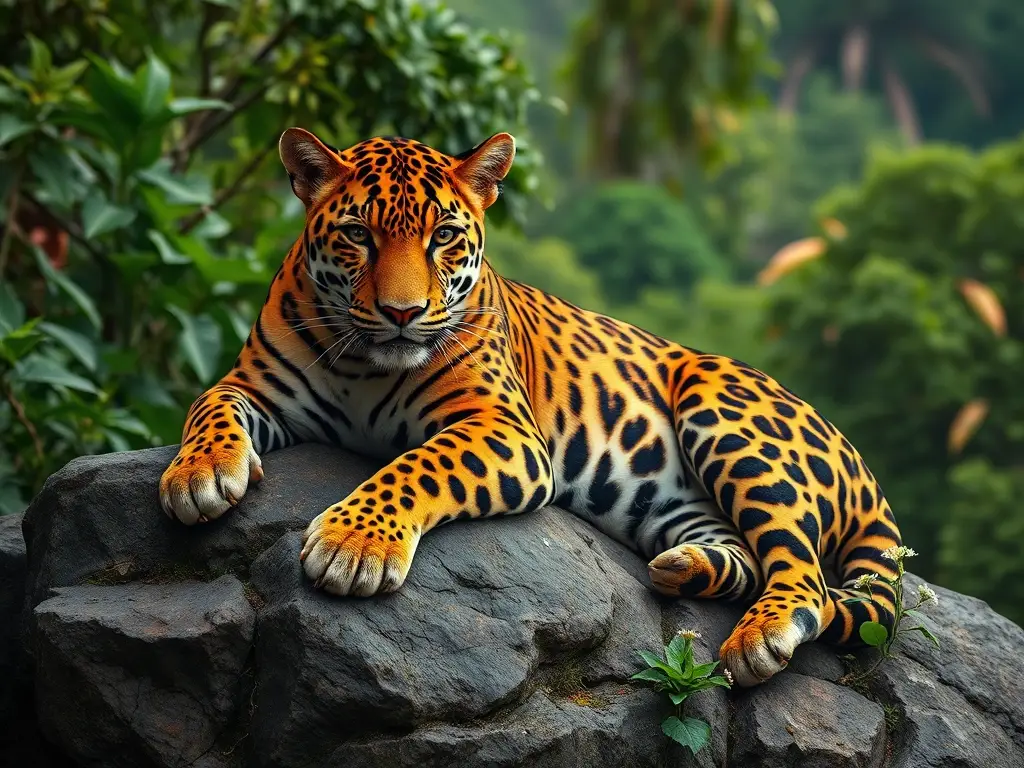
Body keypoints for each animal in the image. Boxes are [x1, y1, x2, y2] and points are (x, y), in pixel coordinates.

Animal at [159, 126, 903, 687]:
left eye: (443, 237)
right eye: (358, 236)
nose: (402, 313)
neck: (364, 365)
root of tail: (863, 464)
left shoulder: (502, 427)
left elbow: (415, 465)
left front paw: (354, 543)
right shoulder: (253, 386)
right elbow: (208, 407)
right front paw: (197, 475)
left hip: (722, 407)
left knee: (805, 576)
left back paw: (758, 641)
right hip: (673, 503)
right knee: (743, 554)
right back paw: (681, 567)